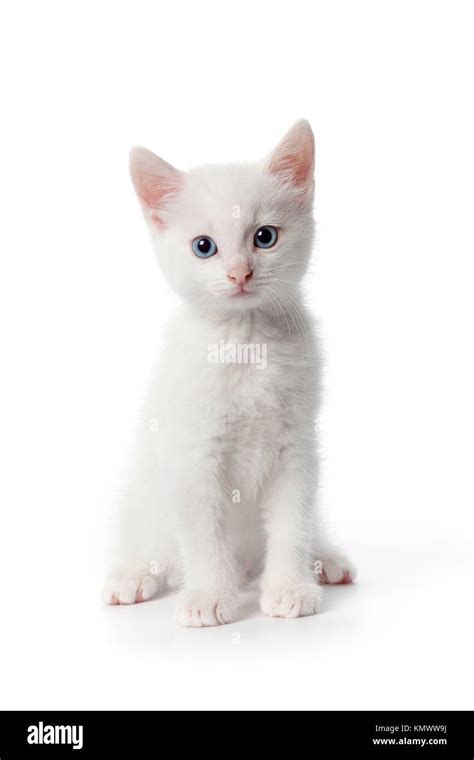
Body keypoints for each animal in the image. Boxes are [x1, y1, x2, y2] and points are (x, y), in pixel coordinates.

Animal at [103, 119, 356, 628]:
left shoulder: (297, 445)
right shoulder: (192, 452)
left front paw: (290, 587)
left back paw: (325, 559)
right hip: (145, 494)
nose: (240, 274)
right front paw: (207, 596)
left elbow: (293, 523)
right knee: (150, 539)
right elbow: (203, 533)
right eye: (204, 247)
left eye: (265, 237)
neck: (245, 342)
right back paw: (134, 574)